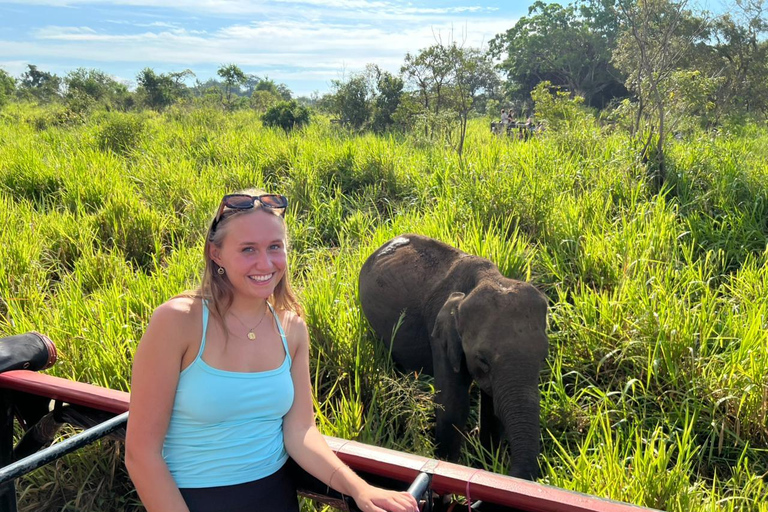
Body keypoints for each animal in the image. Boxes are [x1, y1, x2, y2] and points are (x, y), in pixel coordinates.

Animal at [359, 234, 548, 480]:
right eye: (482, 360)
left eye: (543, 357)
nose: (507, 471)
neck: (485, 279)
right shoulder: (441, 336)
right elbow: (452, 404)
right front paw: (449, 464)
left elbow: (493, 408)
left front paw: (487, 463)